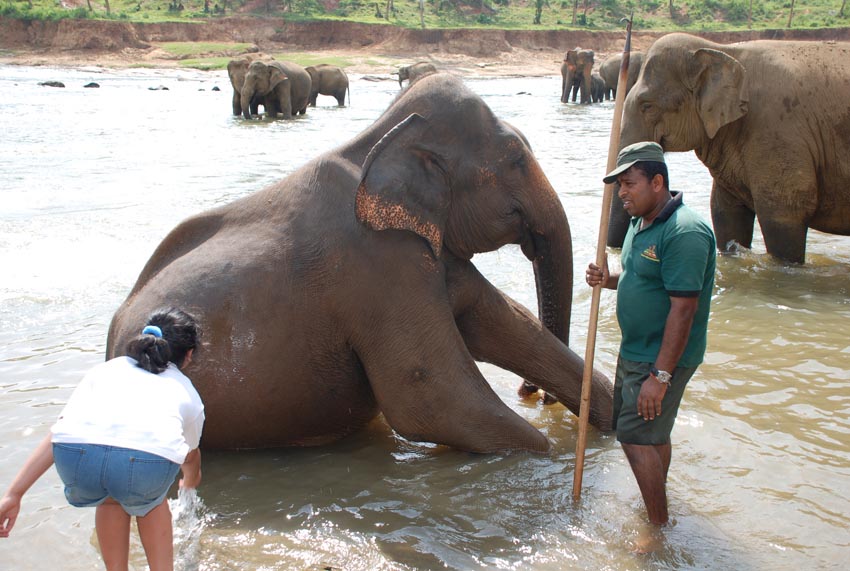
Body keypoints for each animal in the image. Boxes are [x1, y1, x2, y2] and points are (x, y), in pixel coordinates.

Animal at [106, 72, 614, 454]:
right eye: (516, 159)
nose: (532, 394)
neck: (378, 136)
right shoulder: (374, 263)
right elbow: (434, 399)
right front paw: (553, 460)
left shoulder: (422, 245)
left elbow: (503, 320)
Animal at [609, 32, 850, 264]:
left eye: (647, 105)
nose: (613, 254)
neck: (723, 50)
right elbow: (725, 213)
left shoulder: (780, 132)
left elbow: (785, 214)